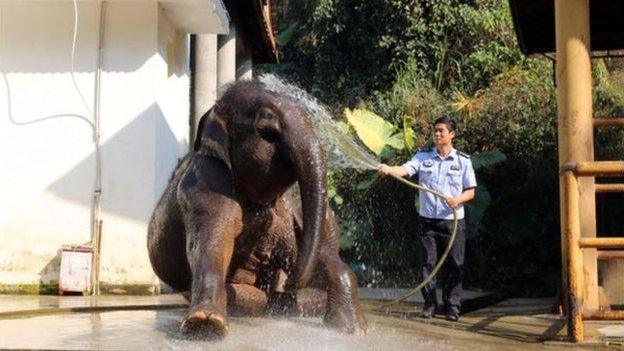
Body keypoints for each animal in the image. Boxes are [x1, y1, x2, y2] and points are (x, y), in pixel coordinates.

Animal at [147, 80, 366, 338]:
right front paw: (205, 324)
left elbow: (316, 252)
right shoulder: (204, 184)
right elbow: (211, 243)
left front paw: (353, 329)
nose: (290, 282)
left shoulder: (290, 209)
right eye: (267, 127)